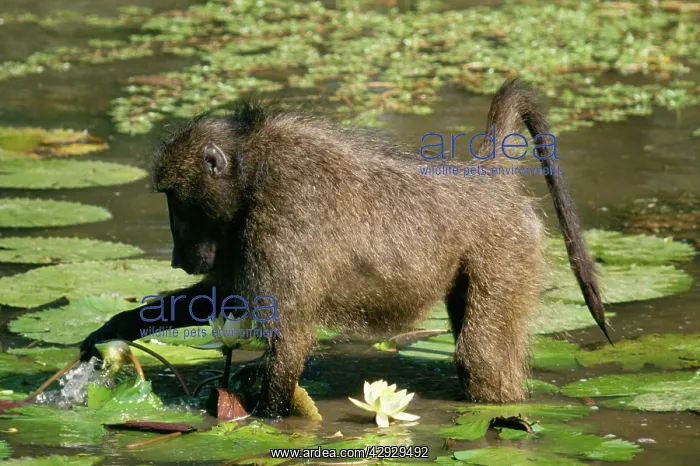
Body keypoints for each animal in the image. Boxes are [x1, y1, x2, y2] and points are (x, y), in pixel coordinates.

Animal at [79, 78, 610, 417]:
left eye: (176, 200)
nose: (176, 257)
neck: (252, 171)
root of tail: (487, 176)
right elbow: (225, 295)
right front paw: (111, 330)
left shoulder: (282, 216)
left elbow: (289, 340)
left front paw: (264, 421)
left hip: (506, 251)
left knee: (480, 357)